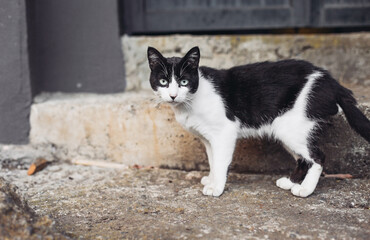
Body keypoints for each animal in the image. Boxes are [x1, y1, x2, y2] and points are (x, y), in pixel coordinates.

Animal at [147, 46, 370, 198]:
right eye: (163, 81)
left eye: (184, 81)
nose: (173, 95)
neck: (191, 100)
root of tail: (332, 81)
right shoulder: (208, 138)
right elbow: (212, 160)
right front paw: (211, 178)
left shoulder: (224, 132)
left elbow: (220, 161)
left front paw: (217, 187)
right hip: (287, 130)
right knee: (302, 158)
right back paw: (290, 182)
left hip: (292, 127)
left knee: (318, 157)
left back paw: (305, 189)